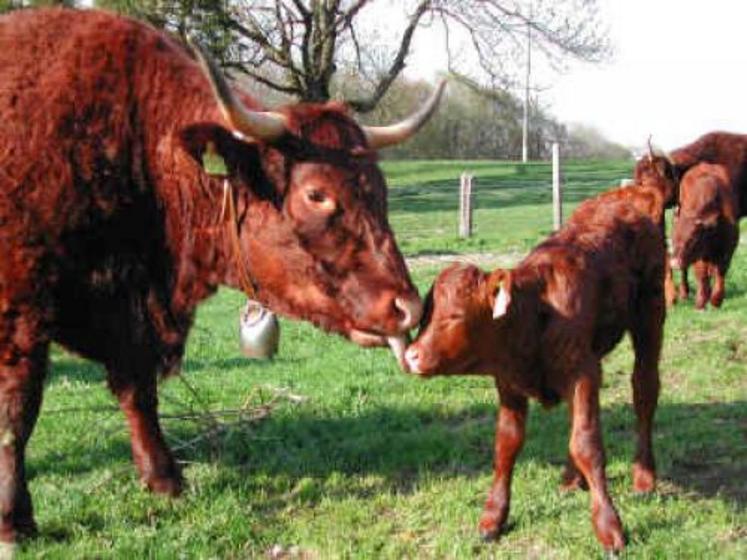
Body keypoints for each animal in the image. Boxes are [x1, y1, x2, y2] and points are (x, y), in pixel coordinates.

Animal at [0, 8, 444, 544]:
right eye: (316, 194)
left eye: (379, 185)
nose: (408, 306)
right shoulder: (20, 315)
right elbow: (17, 412)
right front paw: (13, 519)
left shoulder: (132, 313)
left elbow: (138, 389)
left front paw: (165, 478)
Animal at [404, 187, 668, 552]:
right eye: (426, 314)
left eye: (455, 316)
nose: (411, 355)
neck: (534, 312)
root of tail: (629, 194)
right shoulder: (510, 383)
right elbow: (507, 444)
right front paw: (493, 518)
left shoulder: (581, 373)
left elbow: (587, 443)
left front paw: (609, 526)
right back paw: (572, 479)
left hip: (650, 316)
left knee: (644, 389)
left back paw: (644, 477)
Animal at [668, 162, 740, 310]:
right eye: (673, 239)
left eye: (692, 239)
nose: (674, 262)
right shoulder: (698, 254)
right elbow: (701, 274)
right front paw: (701, 301)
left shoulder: (728, 248)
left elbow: (720, 272)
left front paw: (716, 299)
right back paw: (685, 292)